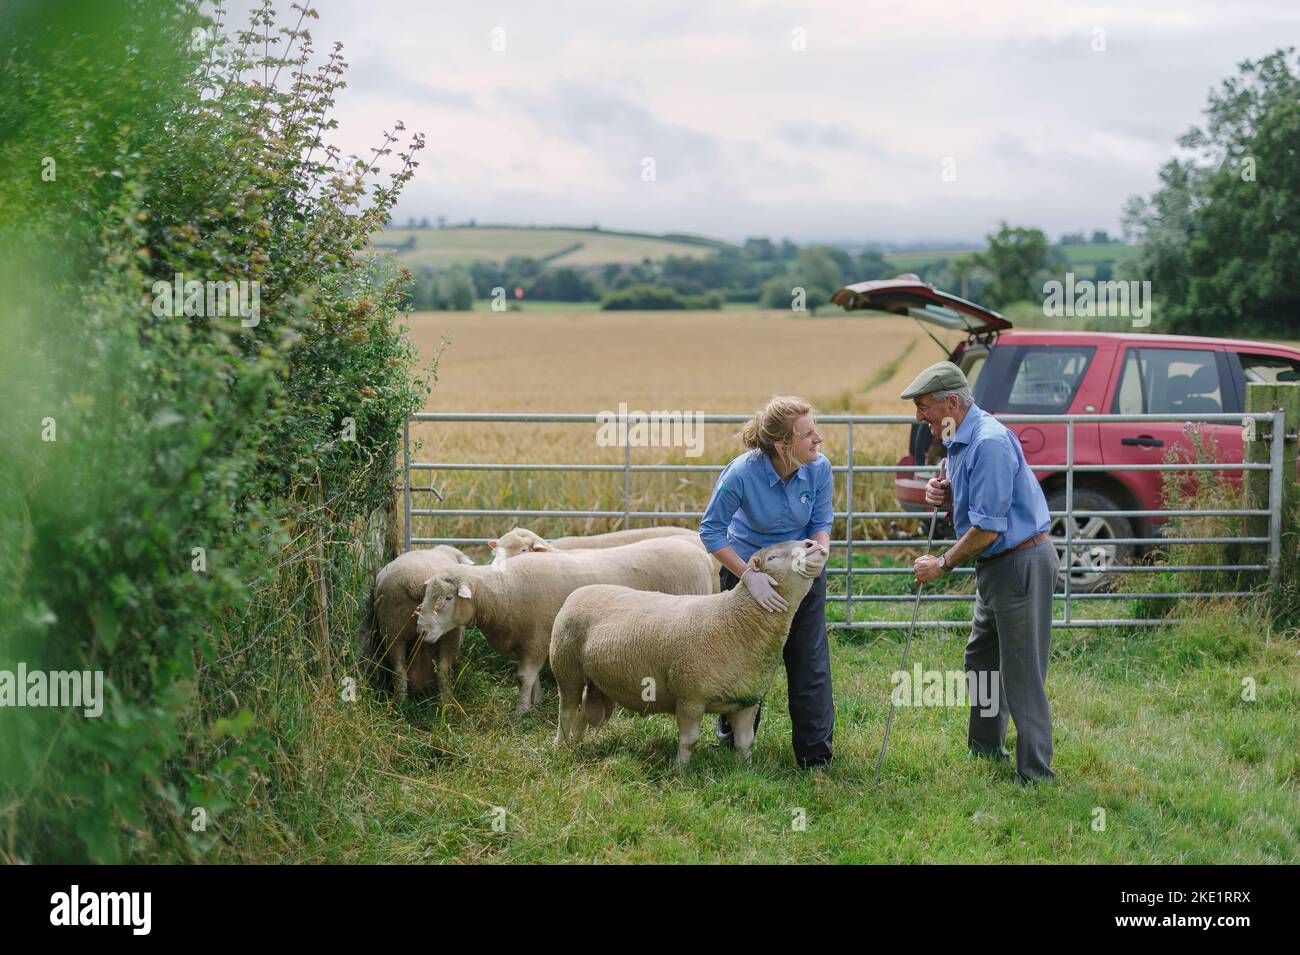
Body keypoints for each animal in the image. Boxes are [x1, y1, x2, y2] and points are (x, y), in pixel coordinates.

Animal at [361, 545, 473, 701]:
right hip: (451, 633)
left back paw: (401, 702)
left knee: (399, 670)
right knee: (443, 669)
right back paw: (447, 701)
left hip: (392, 629)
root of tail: (415, 581)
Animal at [413, 540, 712, 712]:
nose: (421, 630)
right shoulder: (530, 642)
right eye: (427, 595)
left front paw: (521, 711)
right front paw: (536, 702)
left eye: (448, 598)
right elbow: (531, 677)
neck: (502, 591)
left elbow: (524, 677)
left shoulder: (536, 638)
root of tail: (698, 552)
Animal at [551, 537, 832, 769]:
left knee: (582, 713)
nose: (811, 544)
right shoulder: (690, 698)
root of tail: (578, 593)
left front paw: (747, 770)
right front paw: (680, 771)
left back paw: (578, 745)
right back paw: (562, 747)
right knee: (567, 711)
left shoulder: (747, 701)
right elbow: (690, 740)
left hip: (595, 682)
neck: (737, 621)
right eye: (773, 557)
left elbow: (745, 741)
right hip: (567, 669)